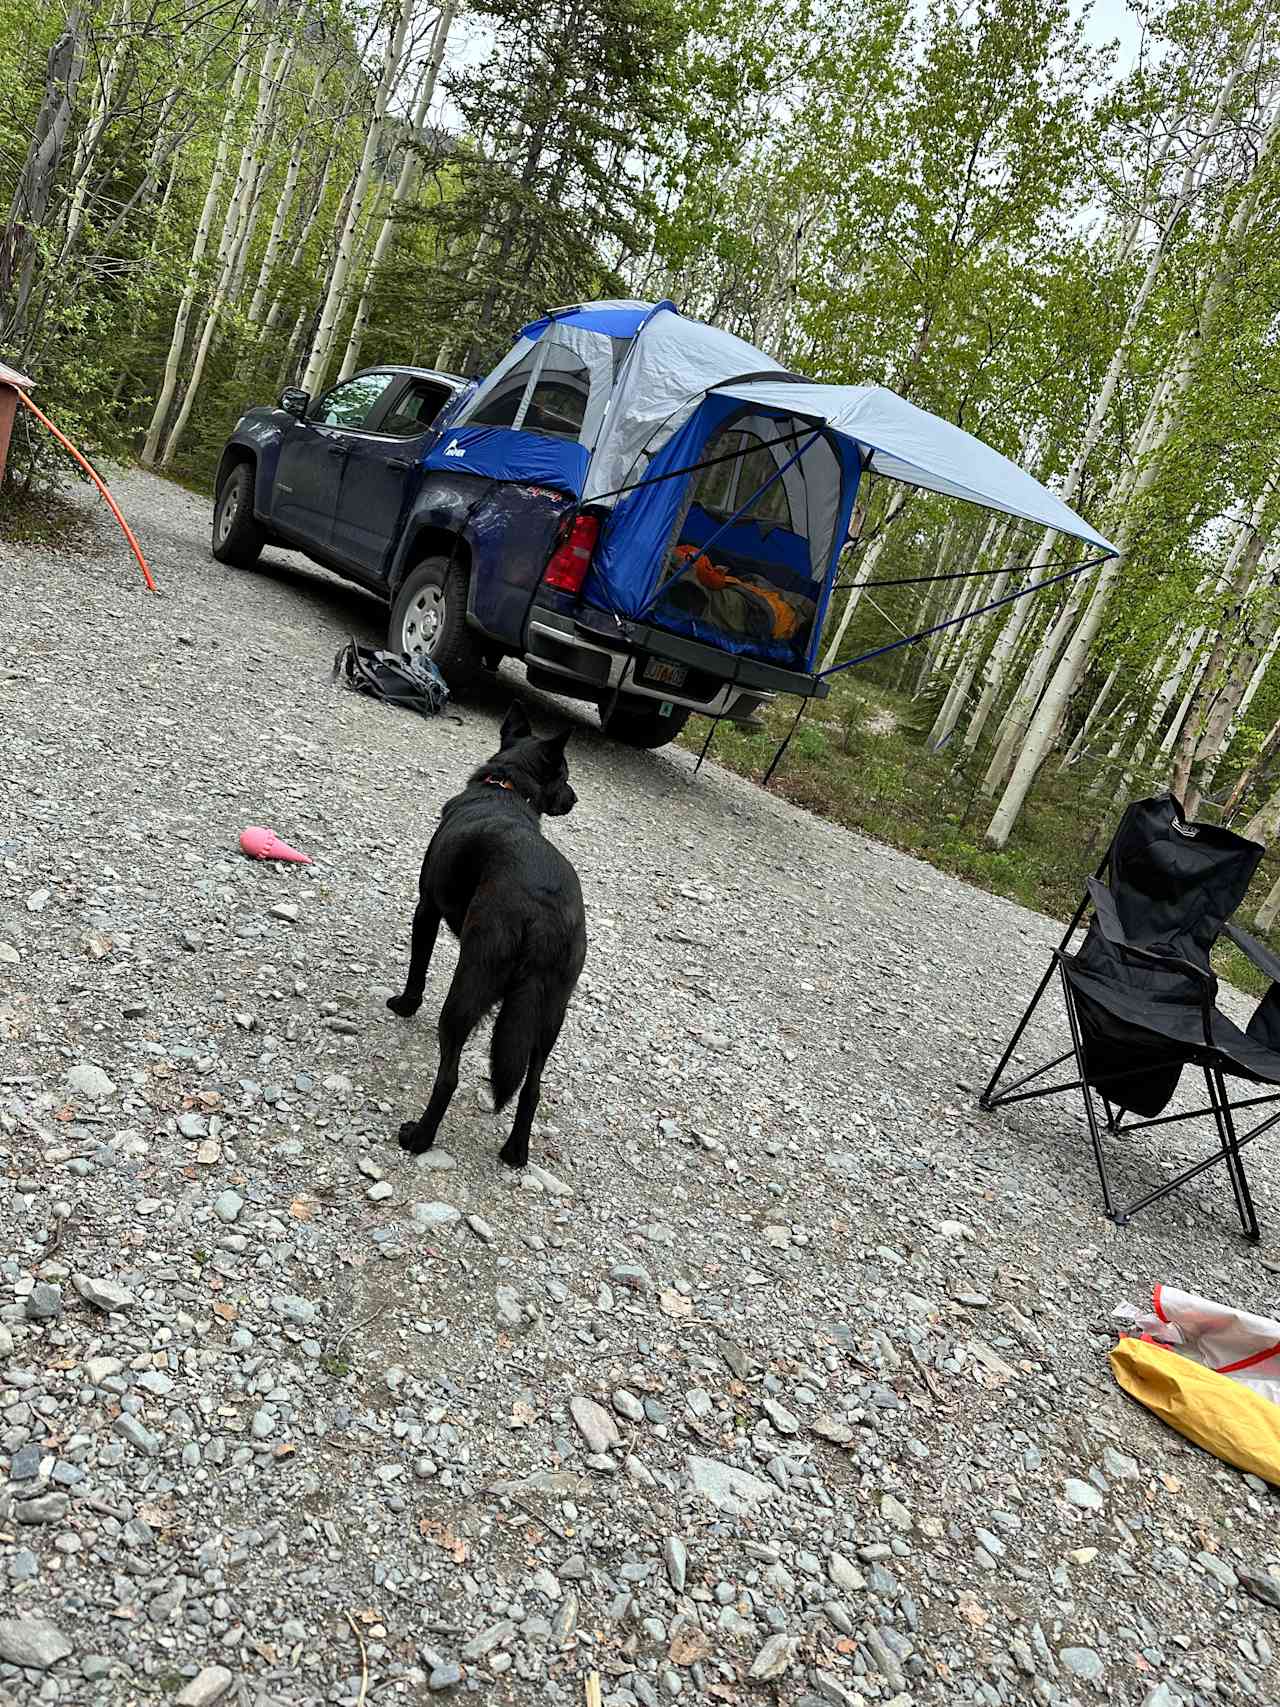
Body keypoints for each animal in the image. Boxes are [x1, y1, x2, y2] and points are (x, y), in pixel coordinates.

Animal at [390, 699, 590, 1167]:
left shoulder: (426, 910)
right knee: (532, 1088)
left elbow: (417, 969)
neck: (505, 787)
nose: (575, 799)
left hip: (470, 985)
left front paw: (405, 1005)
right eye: (566, 776)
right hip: (550, 1014)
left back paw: (418, 1137)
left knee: (449, 1077)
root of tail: (543, 914)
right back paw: (515, 1152)